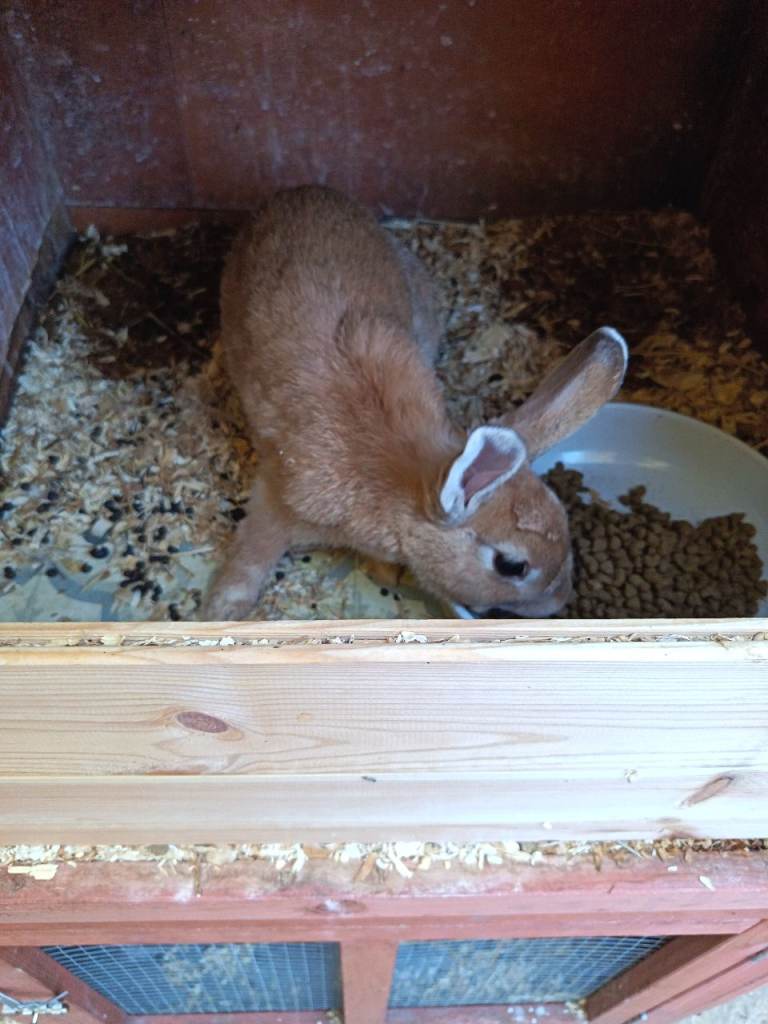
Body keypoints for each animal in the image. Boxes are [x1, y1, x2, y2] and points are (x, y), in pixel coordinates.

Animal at [200, 185, 628, 621]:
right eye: (512, 565)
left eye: (563, 512)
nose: (560, 600)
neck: (406, 483)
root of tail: (301, 190)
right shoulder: (278, 498)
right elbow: (254, 551)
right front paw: (222, 610)